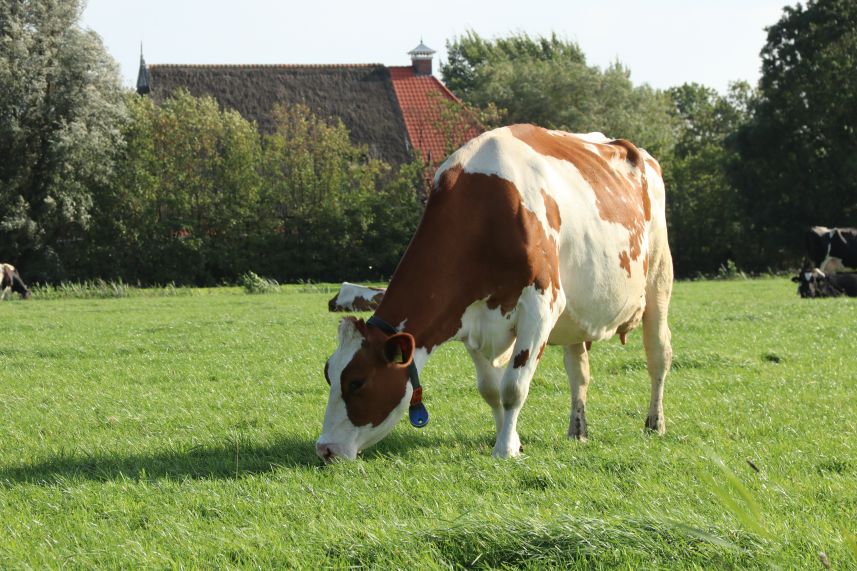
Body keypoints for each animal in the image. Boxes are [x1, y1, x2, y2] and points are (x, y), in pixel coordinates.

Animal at [316, 124, 673, 461]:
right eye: (328, 374)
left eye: (357, 381)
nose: (325, 449)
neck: (484, 212)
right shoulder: (466, 316)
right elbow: (490, 389)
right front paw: (510, 440)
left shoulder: (541, 307)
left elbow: (513, 387)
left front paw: (504, 449)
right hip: (578, 313)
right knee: (579, 373)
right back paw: (577, 430)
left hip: (658, 279)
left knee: (658, 354)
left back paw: (655, 423)